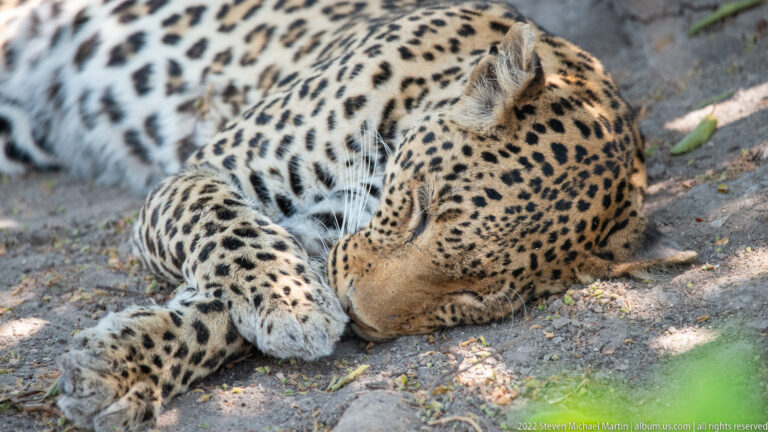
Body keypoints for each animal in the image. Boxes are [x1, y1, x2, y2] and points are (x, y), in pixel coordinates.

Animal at [0, 0, 697, 430]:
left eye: (475, 295)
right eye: (421, 211)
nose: (360, 318)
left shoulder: (325, 242)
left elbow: (214, 317)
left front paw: (118, 369)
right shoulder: (199, 176)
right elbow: (231, 230)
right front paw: (295, 308)